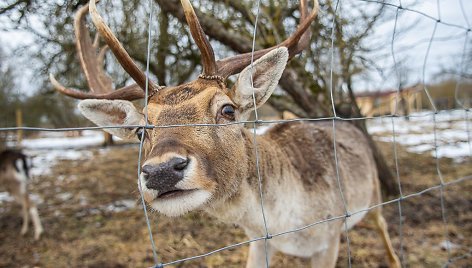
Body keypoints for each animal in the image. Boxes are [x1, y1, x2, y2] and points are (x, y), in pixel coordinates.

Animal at [49, 1, 400, 266]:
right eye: (139, 131)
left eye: (228, 110)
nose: (161, 170)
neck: (286, 223)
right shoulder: (259, 240)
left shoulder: (328, 239)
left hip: (374, 194)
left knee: (384, 227)